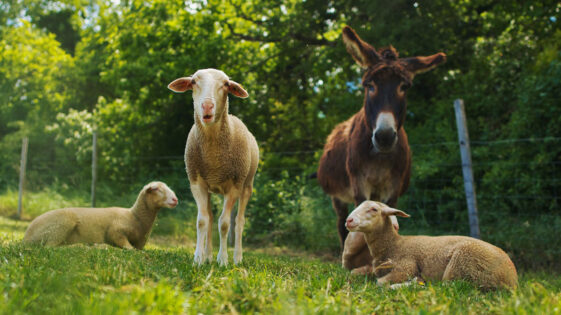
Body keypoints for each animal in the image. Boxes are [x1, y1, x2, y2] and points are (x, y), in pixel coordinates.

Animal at [23, 181, 177, 251]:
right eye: (157, 189)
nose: (175, 199)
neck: (134, 217)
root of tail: (26, 237)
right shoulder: (116, 231)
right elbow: (128, 247)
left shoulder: (140, 243)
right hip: (61, 225)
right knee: (50, 247)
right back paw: (83, 246)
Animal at [167, 68, 260, 266]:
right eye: (193, 82)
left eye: (226, 84)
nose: (207, 106)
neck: (214, 159)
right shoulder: (197, 183)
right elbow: (202, 221)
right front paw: (198, 259)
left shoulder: (234, 186)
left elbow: (224, 223)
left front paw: (223, 260)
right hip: (211, 187)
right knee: (210, 218)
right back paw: (208, 256)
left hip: (247, 184)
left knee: (239, 221)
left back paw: (237, 257)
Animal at [344, 201, 520, 290]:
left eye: (374, 209)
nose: (349, 220)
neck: (394, 245)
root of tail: (512, 279)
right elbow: (354, 273)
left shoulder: (406, 266)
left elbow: (379, 282)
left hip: (462, 264)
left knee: (447, 286)